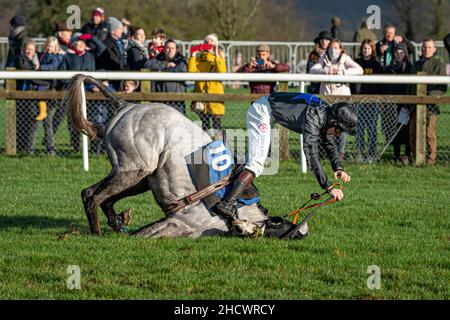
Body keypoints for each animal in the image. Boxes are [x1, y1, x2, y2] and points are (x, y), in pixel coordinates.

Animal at [63, 75, 308, 239]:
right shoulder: (181, 223)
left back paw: (115, 223)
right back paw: (99, 232)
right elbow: (144, 234)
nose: (240, 227)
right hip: (135, 169)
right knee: (95, 197)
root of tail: (127, 106)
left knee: (92, 193)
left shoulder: (184, 226)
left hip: (139, 177)